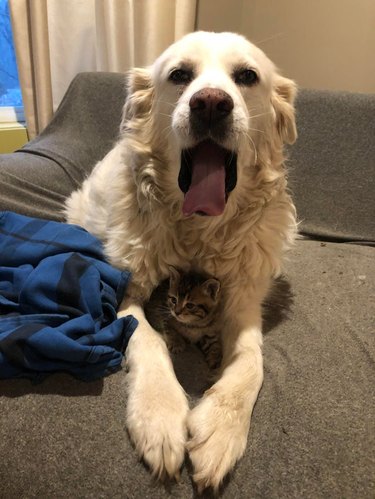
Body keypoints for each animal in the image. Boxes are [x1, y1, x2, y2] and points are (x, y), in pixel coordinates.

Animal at [66, 31, 298, 492]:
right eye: (180, 75)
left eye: (247, 76)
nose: (209, 103)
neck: (199, 230)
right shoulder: (127, 292)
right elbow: (149, 339)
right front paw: (159, 418)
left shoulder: (243, 302)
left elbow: (251, 361)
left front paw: (221, 431)